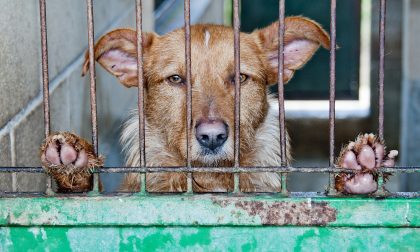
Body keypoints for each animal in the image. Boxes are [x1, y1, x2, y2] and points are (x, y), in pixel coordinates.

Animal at [39, 16, 398, 194]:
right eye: (176, 79)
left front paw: (355, 173)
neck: (211, 180)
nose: (212, 136)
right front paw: (73, 165)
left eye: (239, 77)